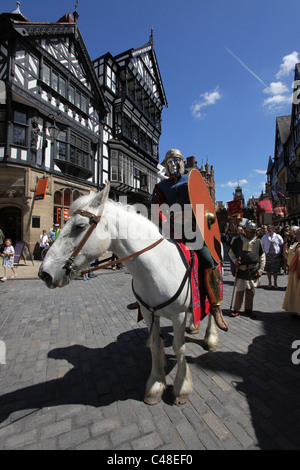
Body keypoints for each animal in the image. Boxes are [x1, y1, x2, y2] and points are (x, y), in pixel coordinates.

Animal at [38, 184, 219, 404]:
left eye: (80, 226)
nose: (44, 273)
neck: (158, 265)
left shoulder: (178, 315)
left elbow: (179, 347)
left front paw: (182, 387)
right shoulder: (149, 313)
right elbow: (156, 345)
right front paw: (156, 385)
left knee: (212, 307)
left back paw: (211, 336)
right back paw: (194, 325)